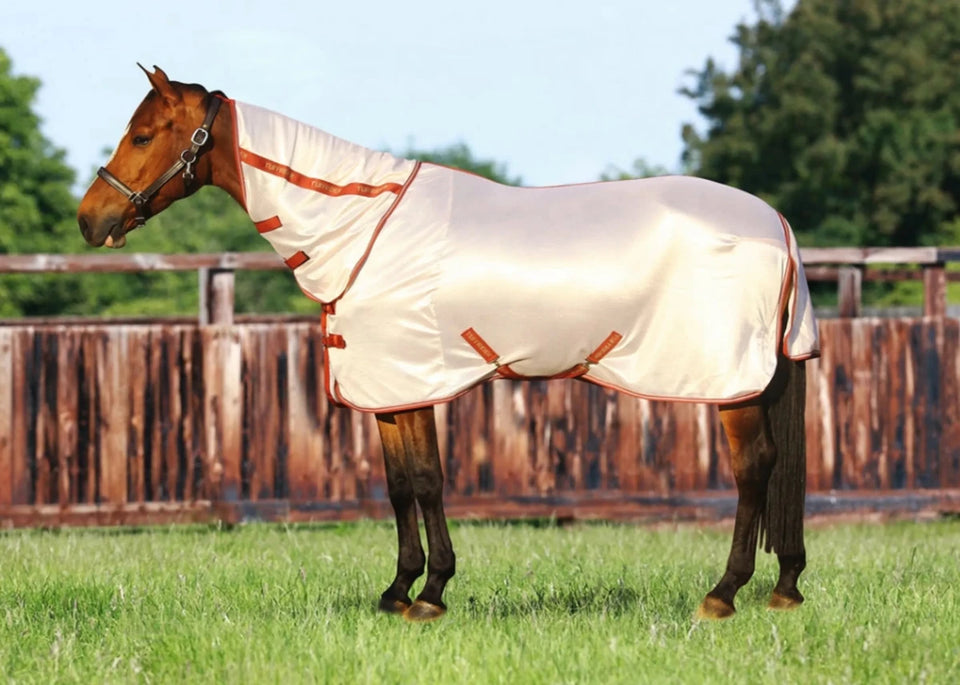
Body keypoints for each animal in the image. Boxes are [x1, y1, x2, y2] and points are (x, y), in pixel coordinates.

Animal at [78, 66, 819, 622]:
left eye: (143, 134)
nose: (91, 219)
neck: (363, 226)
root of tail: (776, 224)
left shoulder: (411, 378)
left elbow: (428, 480)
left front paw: (431, 594)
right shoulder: (388, 390)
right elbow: (401, 484)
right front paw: (399, 590)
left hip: (733, 383)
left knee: (754, 468)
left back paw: (723, 594)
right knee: (780, 467)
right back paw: (783, 589)